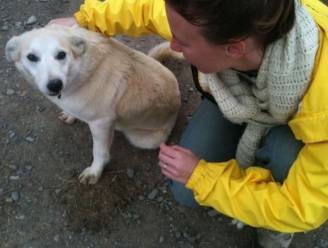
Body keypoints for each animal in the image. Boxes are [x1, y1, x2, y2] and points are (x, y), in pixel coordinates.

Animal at [5, 25, 181, 184]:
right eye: (31, 57)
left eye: (61, 54)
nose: (55, 85)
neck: (79, 71)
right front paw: (70, 116)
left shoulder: (100, 123)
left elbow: (99, 152)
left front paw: (95, 172)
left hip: (144, 140)